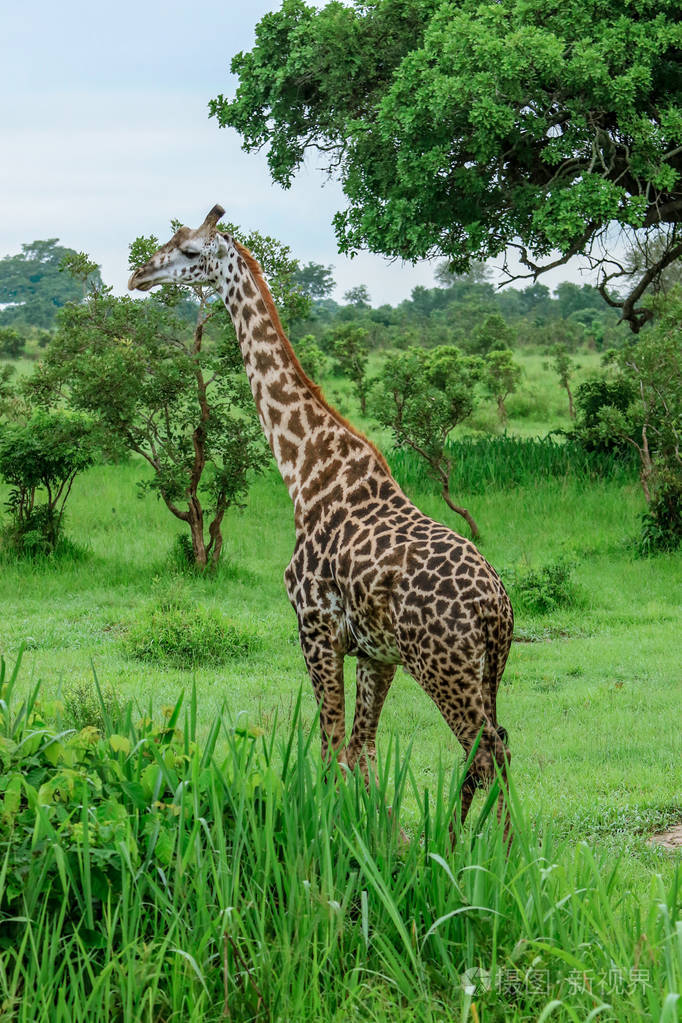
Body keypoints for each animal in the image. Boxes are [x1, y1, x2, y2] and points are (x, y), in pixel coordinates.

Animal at [127, 203, 515, 834]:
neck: (304, 472)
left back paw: (490, 851)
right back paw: (472, 845)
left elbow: (332, 748)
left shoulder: (314, 626)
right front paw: (381, 838)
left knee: (486, 749)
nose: (139, 275)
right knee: (494, 744)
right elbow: (362, 750)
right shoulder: (376, 652)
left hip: (443, 665)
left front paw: (335, 843)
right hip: (484, 668)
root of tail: (496, 608)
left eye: (188, 251)